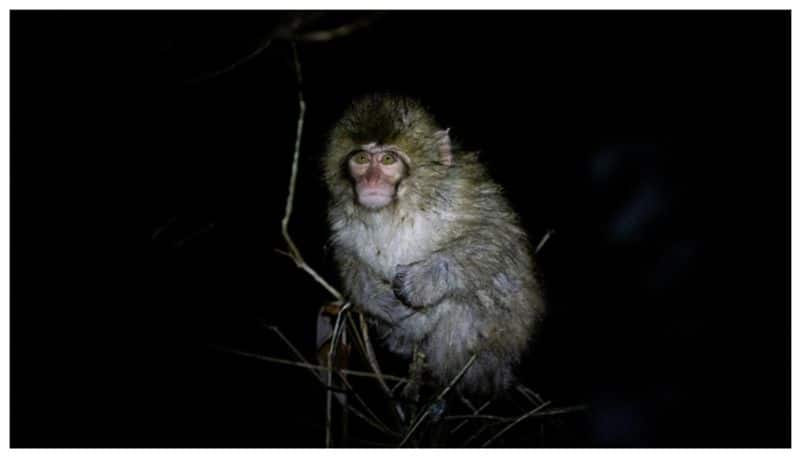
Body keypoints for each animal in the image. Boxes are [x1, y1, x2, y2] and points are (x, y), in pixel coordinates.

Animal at [324, 94, 544, 398]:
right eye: (361, 159)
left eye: (388, 159)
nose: (371, 181)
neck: (396, 210)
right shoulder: (339, 218)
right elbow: (349, 259)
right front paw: (380, 300)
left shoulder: (459, 190)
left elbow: (497, 240)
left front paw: (423, 280)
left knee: (470, 300)